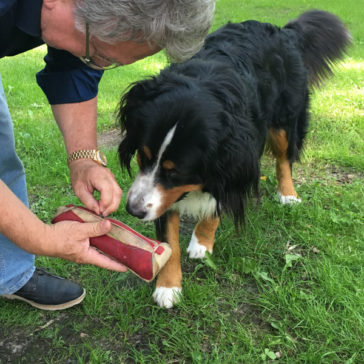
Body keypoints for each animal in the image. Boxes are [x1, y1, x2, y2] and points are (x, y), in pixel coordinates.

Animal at [116, 9, 350, 308]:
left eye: (176, 172)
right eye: (142, 157)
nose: (133, 210)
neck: (205, 86)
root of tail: (283, 31)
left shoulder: (235, 160)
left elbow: (219, 200)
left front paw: (202, 242)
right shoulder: (163, 192)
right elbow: (169, 238)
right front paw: (168, 286)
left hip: (284, 119)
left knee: (284, 158)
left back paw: (288, 194)